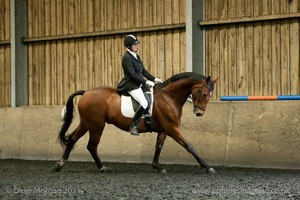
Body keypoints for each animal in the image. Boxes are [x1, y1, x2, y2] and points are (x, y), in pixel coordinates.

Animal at [52, 72, 218, 173]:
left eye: (210, 96)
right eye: (204, 94)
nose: (199, 113)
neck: (169, 98)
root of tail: (86, 92)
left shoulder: (164, 129)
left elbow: (158, 146)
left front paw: (157, 166)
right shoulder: (172, 128)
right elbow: (189, 146)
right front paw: (207, 167)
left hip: (87, 123)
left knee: (72, 139)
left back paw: (60, 165)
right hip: (96, 126)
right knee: (91, 146)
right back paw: (102, 167)